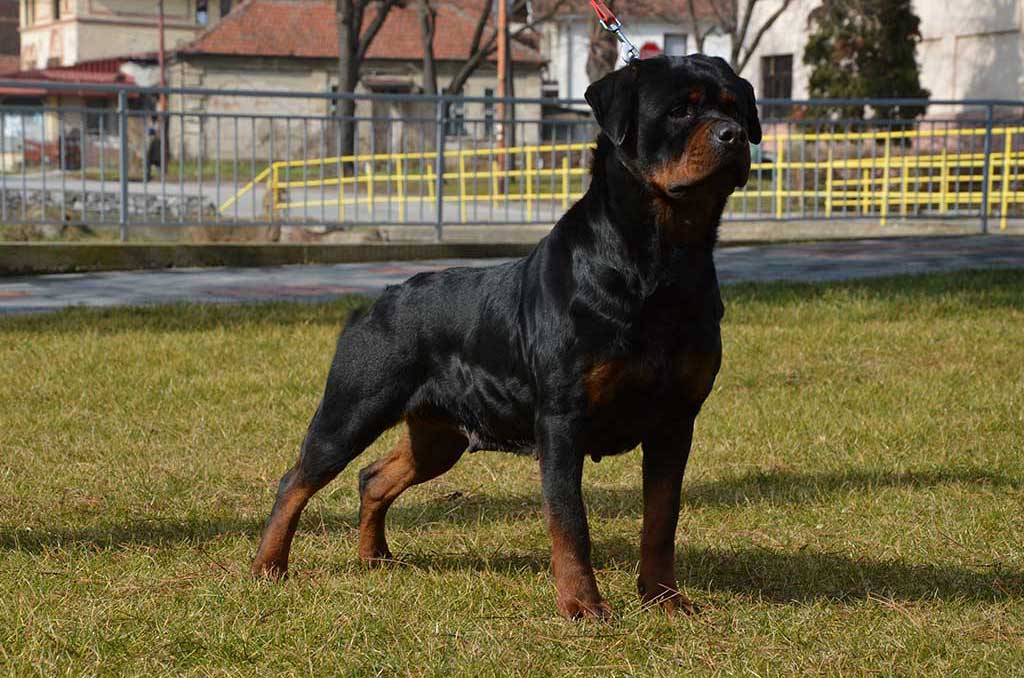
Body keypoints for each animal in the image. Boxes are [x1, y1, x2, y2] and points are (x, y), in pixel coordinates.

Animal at [250, 55, 757, 622]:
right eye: (678, 111)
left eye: (736, 108)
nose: (735, 135)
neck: (663, 261)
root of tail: (376, 302)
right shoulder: (562, 421)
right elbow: (570, 522)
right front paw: (582, 605)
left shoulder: (675, 421)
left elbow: (661, 520)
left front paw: (664, 598)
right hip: (354, 407)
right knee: (297, 479)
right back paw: (269, 566)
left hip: (439, 435)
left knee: (374, 477)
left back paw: (374, 557)